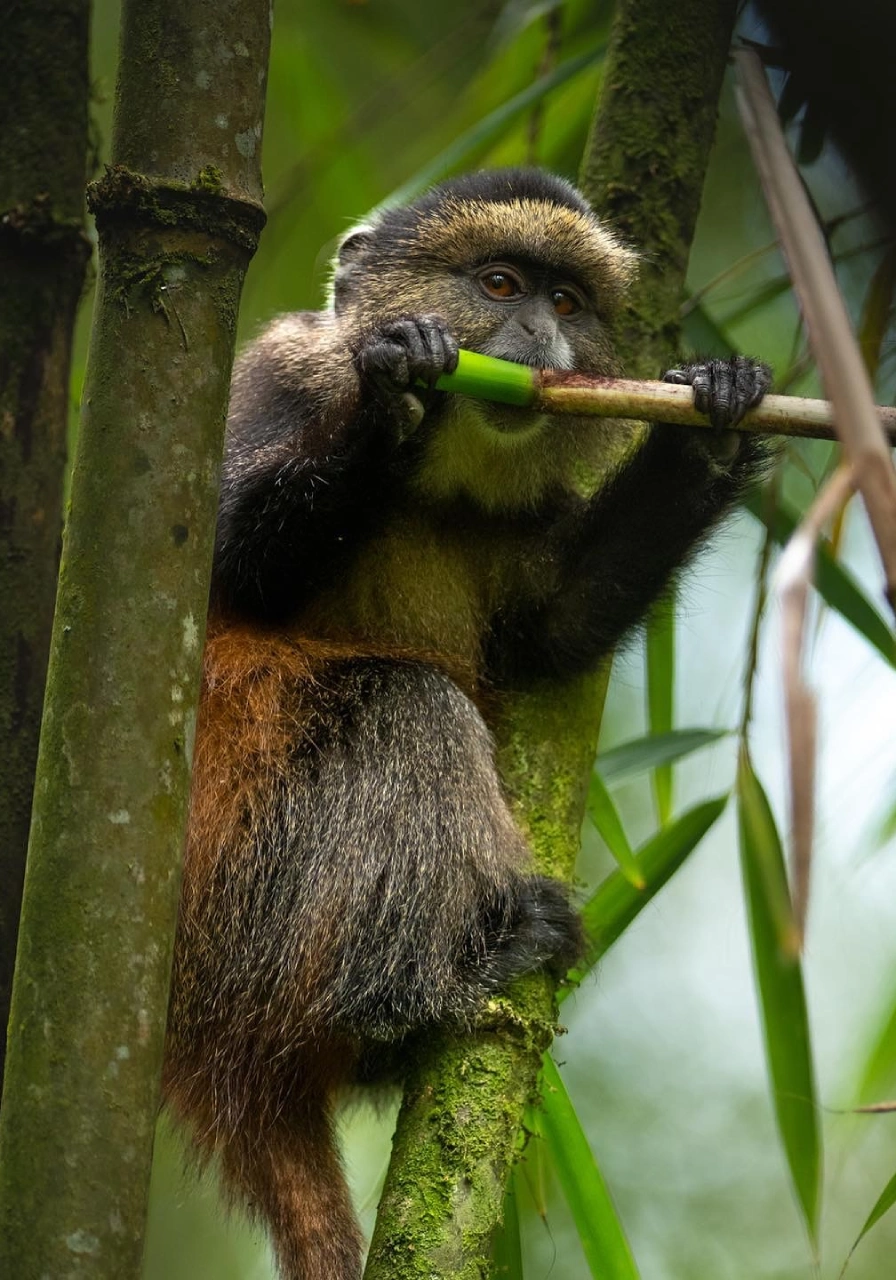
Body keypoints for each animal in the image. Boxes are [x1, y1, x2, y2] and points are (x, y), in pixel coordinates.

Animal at [162, 168, 771, 1280]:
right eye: (498, 284)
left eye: (566, 301)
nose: (539, 334)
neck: (447, 480)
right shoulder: (275, 381)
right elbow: (224, 564)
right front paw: (392, 402)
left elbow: (553, 630)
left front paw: (712, 415)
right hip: (243, 894)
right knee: (407, 708)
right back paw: (420, 989)